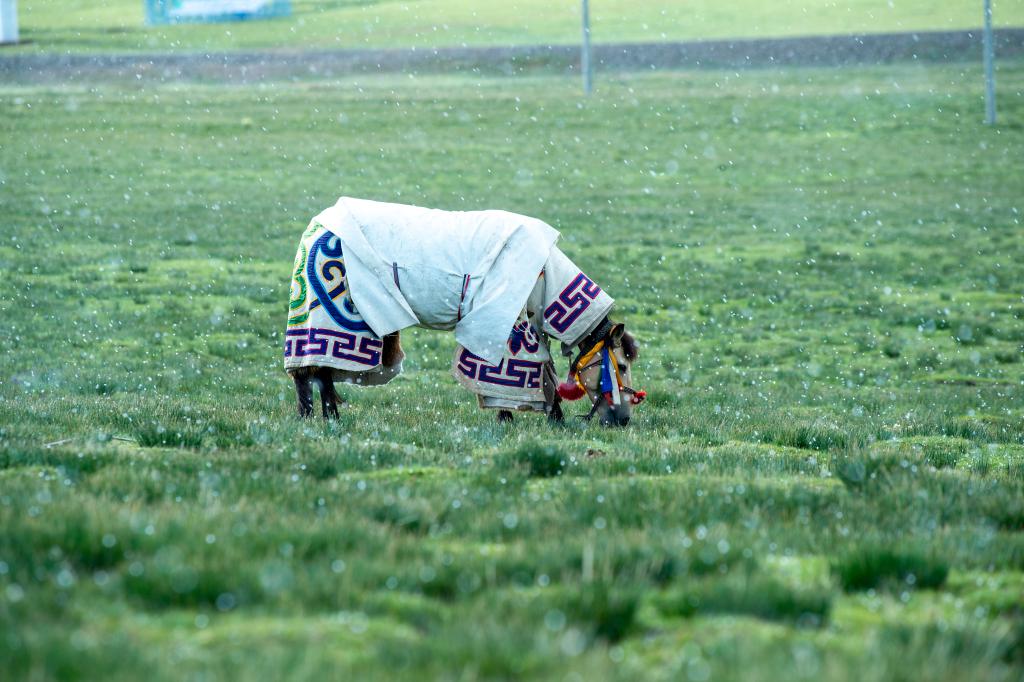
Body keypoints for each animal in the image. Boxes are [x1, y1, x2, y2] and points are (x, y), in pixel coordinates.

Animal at [284, 197, 643, 425]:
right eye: (622, 366)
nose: (623, 420)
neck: (545, 278)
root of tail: (317, 226)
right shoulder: (506, 327)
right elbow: (513, 375)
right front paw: (507, 418)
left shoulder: (529, 323)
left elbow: (547, 371)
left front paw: (554, 419)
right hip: (329, 316)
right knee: (315, 369)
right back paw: (318, 418)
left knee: (317, 372)